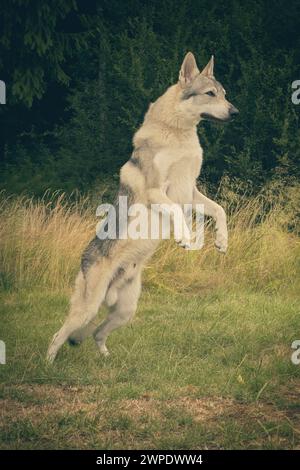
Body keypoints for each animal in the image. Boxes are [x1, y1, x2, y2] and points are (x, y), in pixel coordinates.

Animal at [47, 51, 239, 362]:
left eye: (224, 94)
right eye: (210, 94)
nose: (236, 113)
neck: (178, 134)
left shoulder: (191, 192)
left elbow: (220, 210)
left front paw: (222, 241)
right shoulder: (157, 192)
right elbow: (177, 213)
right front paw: (184, 238)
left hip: (125, 311)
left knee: (97, 334)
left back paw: (107, 358)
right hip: (87, 309)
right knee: (58, 336)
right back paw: (47, 365)